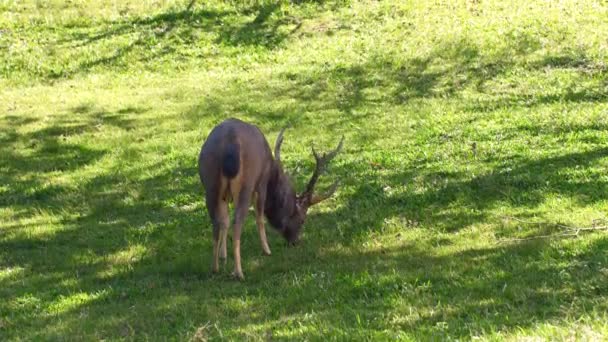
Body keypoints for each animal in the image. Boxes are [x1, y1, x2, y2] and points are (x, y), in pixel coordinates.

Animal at [198, 119, 344, 280]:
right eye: (302, 220)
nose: (295, 241)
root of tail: (230, 148)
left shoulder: (225, 195)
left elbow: (225, 221)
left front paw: (223, 255)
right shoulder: (261, 183)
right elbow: (260, 217)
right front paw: (267, 250)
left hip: (210, 183)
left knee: (216, 222)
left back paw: (215, 267)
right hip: (246, 185)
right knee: (238, 222)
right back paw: (239, 272)